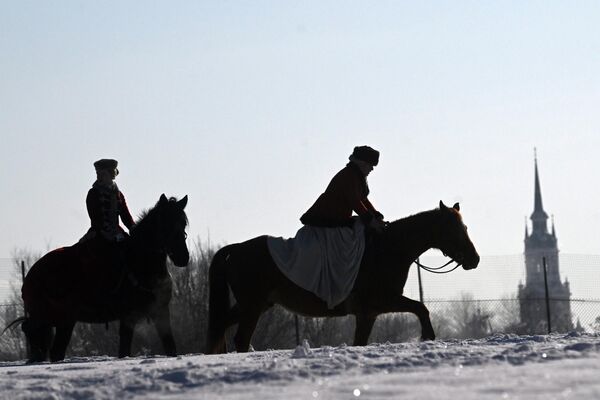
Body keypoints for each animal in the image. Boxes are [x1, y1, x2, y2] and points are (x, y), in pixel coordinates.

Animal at [17, 194, 190, 362]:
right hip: (62, 320)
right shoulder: (128, 316)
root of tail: (30, 276)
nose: (183, 257)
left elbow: (170, 347)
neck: (138, 261)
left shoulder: (160, 311)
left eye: (183, 224)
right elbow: (124, 350)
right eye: (165, 223)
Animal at [209, 202, 480, 352]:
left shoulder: (368, 314)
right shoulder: (381, 302)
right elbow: (421, 308)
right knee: (241, 338)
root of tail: (237, 248)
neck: (387, 248)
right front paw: (427, 337)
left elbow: (360, 341)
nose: (474, 259)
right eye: (454, 229)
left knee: (221, 325)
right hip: (252, 307)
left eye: (465, 228)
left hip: (254, 305)